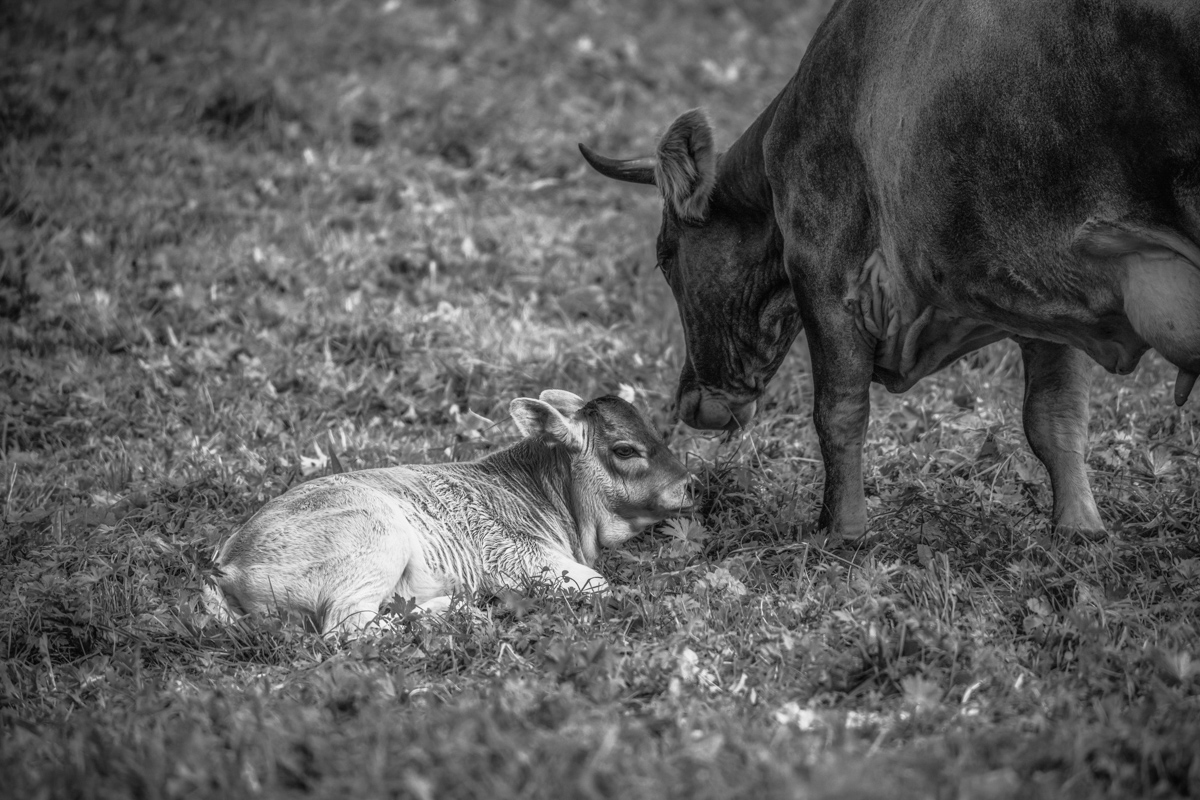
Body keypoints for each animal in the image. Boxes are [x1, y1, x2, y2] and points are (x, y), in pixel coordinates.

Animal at [205, 391, 693, 633]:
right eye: (625, 449)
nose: (688, 483)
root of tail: (227, 561)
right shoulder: (519, 560)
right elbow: (599, 584)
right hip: (376, 540)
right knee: (347, 627)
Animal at [580, 0, 1200, 540]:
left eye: (665, 256)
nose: (690, 402)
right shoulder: (1042, 290)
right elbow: (1056, 415)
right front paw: (1079, 529)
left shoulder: (827, 269)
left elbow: (839, 411)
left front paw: (842, 531)